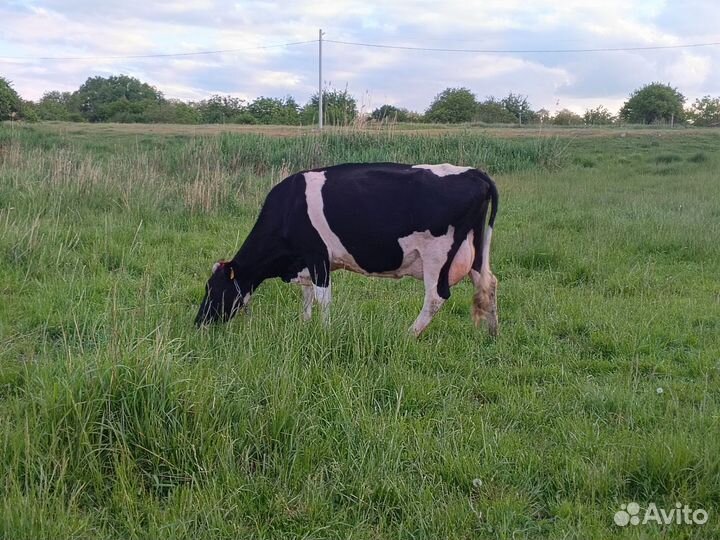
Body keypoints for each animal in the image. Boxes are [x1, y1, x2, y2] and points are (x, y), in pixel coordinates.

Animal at [195, 162, 499, 337]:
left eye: (214, 289)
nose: (199, 323)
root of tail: (476, 173)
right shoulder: (306, 262)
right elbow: (307, 296)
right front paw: (304, 324)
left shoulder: (317, 256)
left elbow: (322, 299)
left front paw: (325, 331)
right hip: (476, 250)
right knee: (488, 283)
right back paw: (492, 333)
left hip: (438, 255)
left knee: (436, 297)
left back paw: (408, 334)